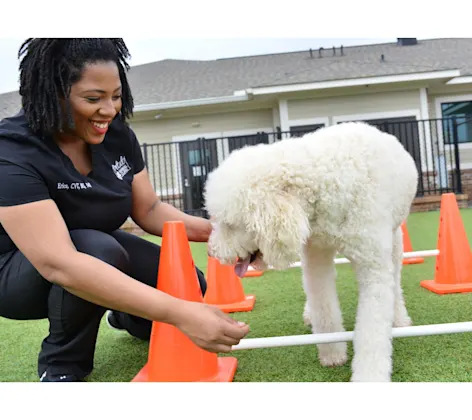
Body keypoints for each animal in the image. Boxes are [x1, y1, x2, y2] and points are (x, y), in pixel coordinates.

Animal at [205, 120, 418, 380]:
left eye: (229, 224)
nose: (211, 252)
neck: (325, 180)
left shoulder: (373, 265)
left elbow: (372, 329)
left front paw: (369, 376)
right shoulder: (316, 256)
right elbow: (323, 308)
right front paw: (332, 354)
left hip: (395, 238)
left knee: (395, 280)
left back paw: (399, 317)